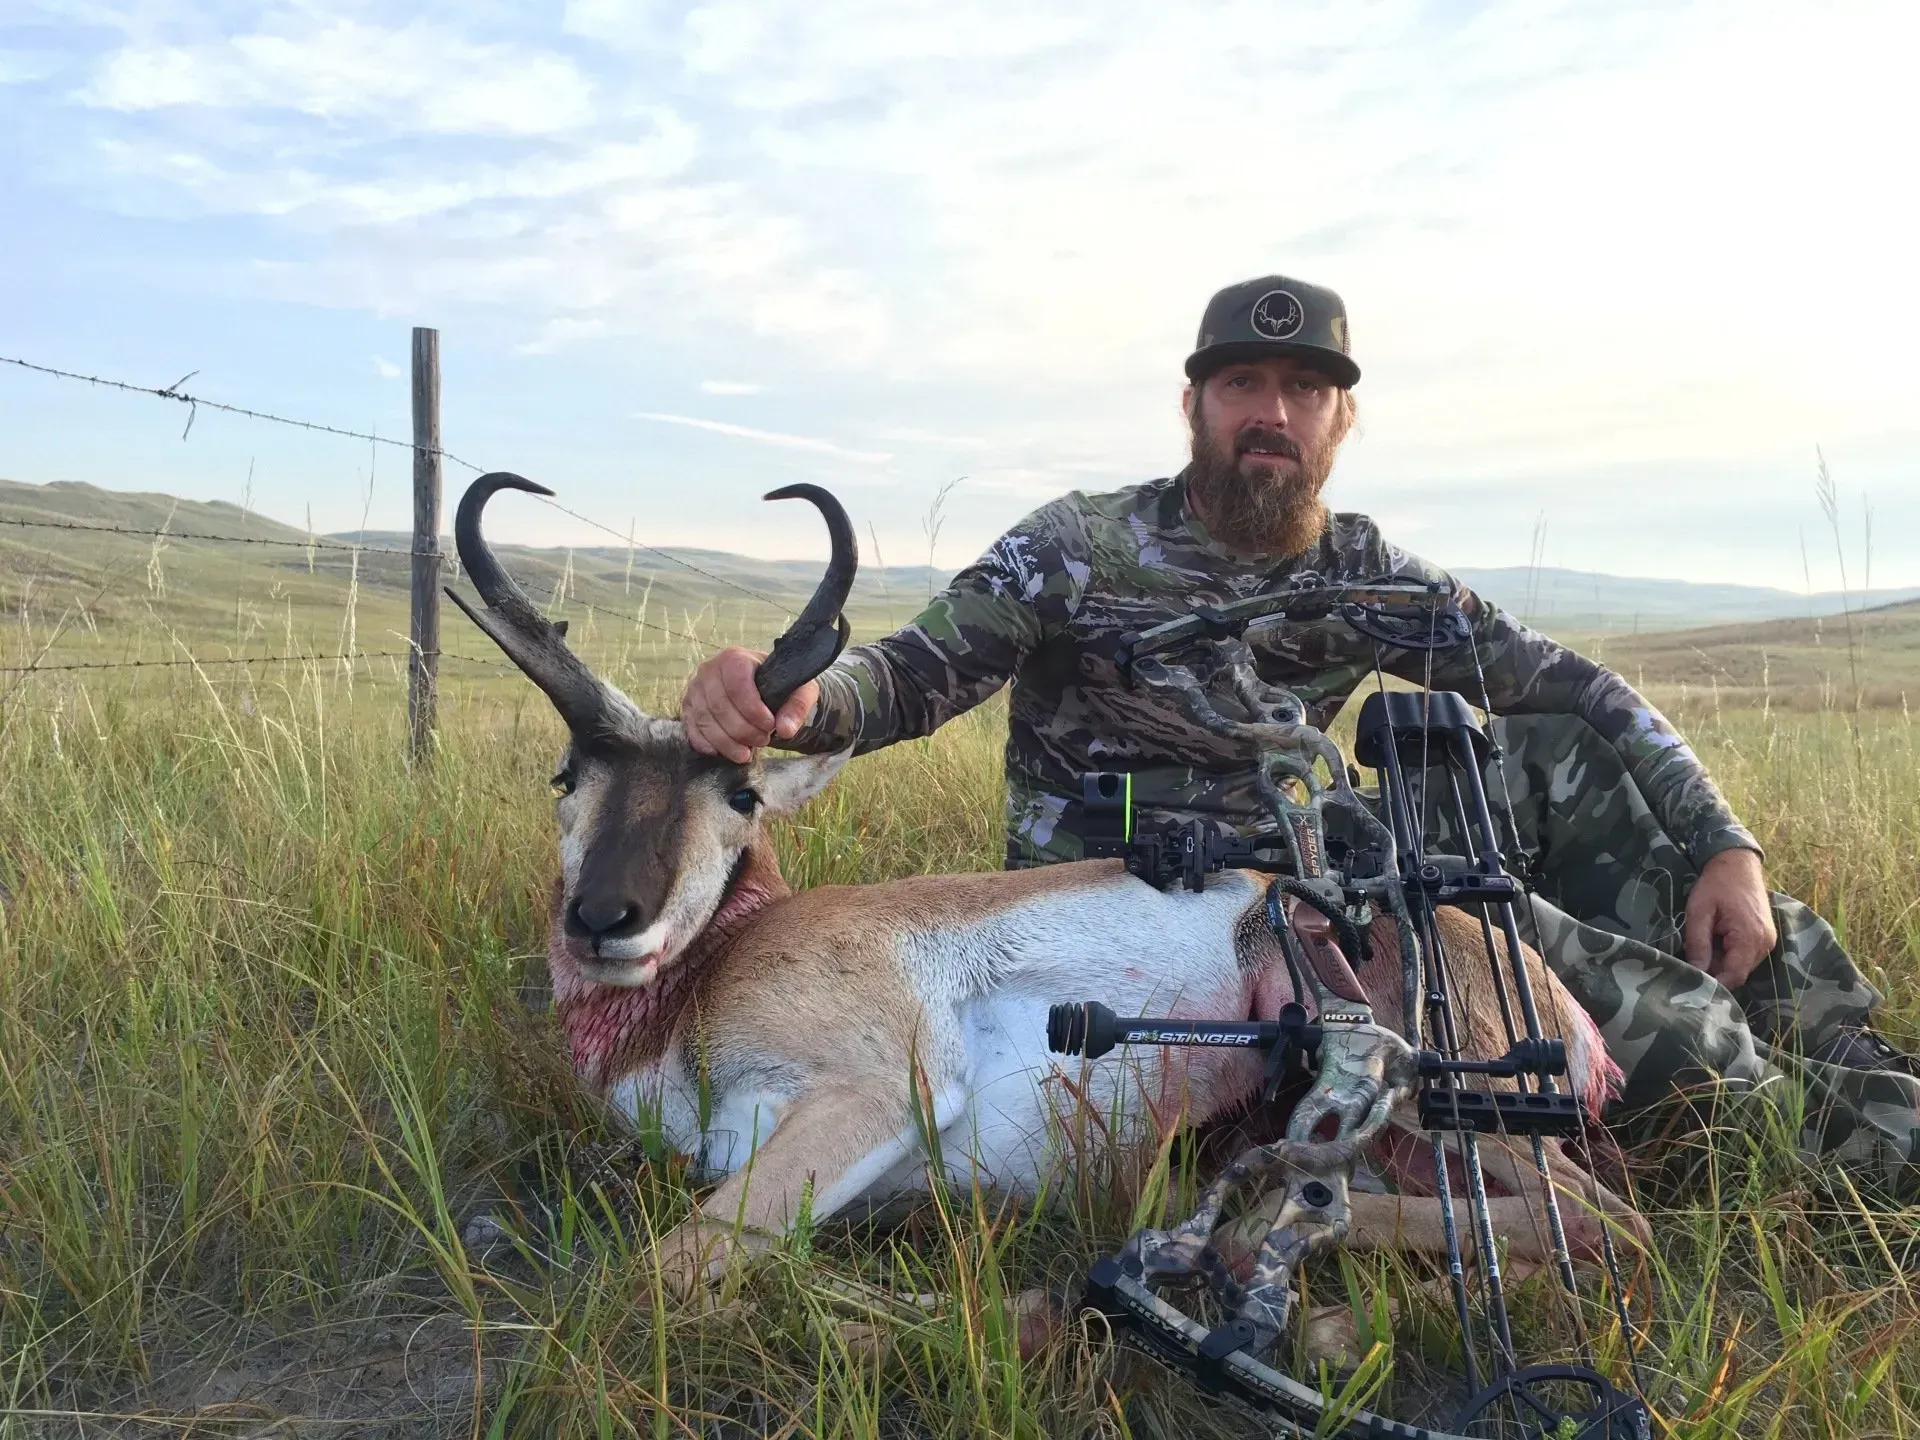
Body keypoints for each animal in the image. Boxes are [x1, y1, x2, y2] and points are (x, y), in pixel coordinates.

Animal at [448, 473, 1645, 1307]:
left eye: (740, 793)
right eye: (568, 776)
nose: (607, 921)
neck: (716, 968)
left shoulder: (870, 1099)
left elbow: (657, 1274)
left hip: (1445, 1106)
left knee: (1600, 1223)